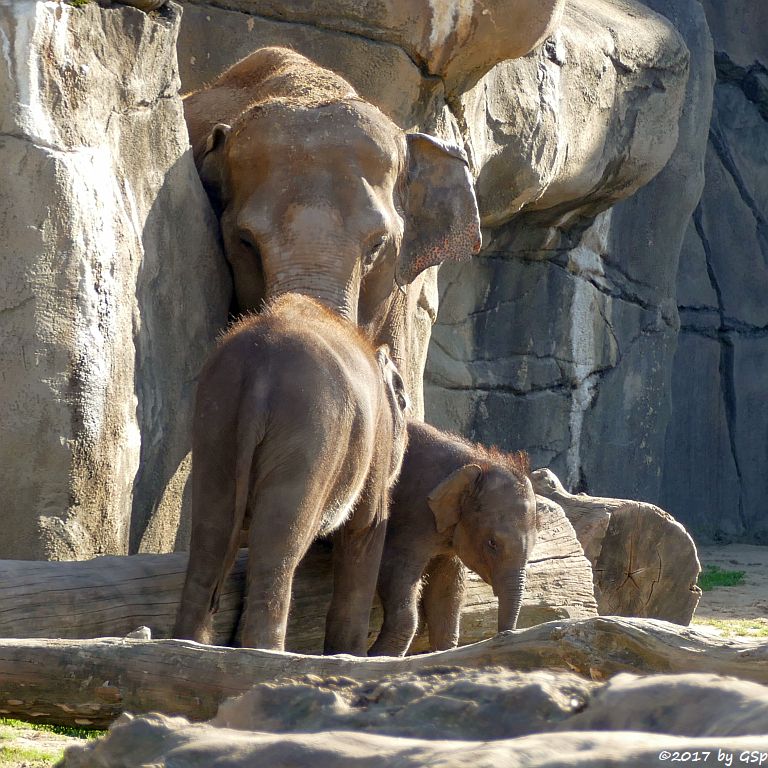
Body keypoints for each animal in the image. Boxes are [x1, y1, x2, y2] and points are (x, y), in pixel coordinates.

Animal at [173, 294, 408, 656]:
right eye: (405, 403)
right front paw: (349, 654)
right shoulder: (377, 444)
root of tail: (260, 362)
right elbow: (367, 527)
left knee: (209, 536)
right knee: (279, 545)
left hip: (214, 421)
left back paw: (188, 645)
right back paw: (267, 651)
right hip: (310, 428)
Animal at [368, 420, 536, 656]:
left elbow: (447, 588)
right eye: (492, 543)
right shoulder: (413, 517)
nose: (503, 637)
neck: (476, 463)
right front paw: (377, 656)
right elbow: (391, 569)